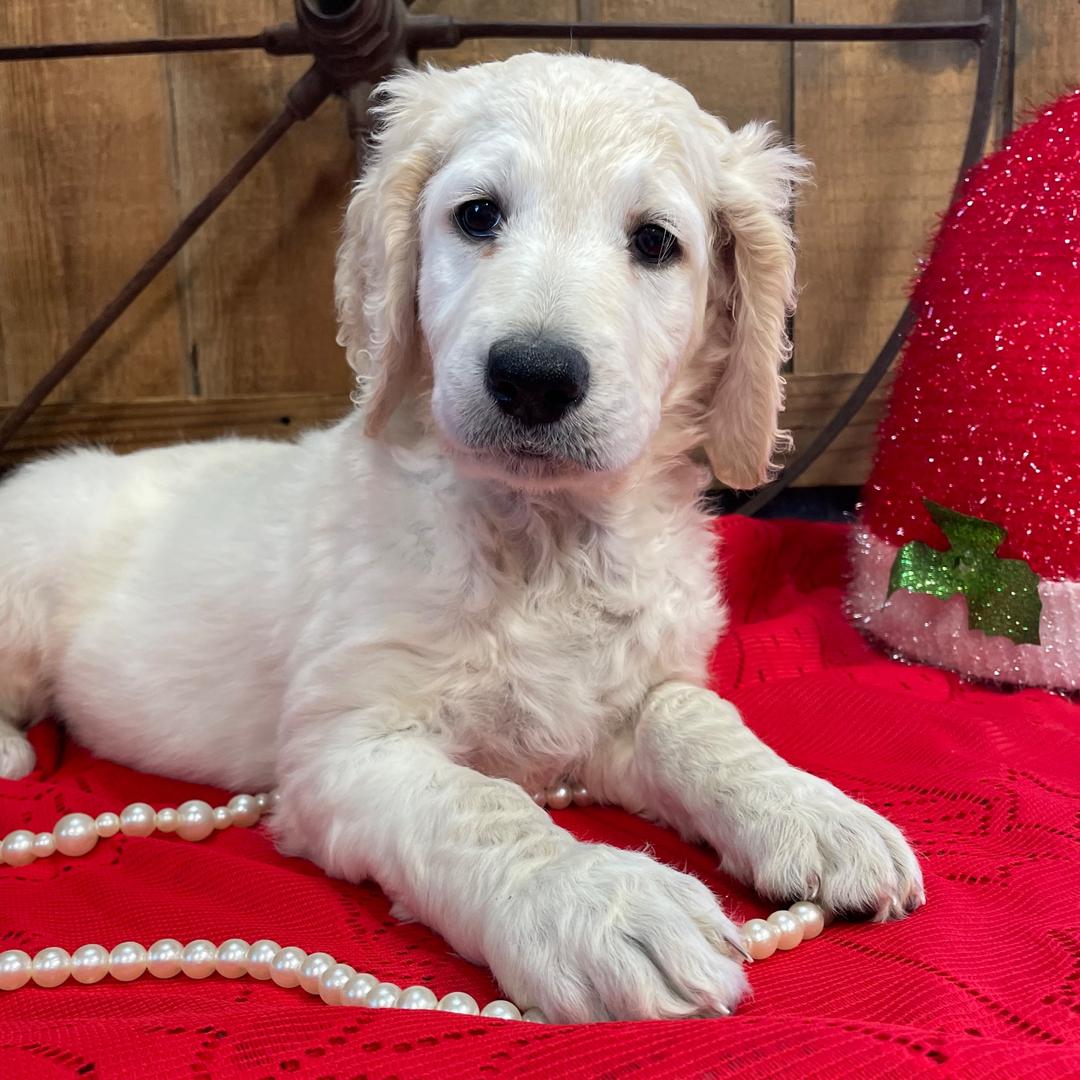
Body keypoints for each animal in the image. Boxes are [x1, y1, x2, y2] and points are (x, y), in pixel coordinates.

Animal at [0, 53, 923, 1023]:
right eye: (478, 214)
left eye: (655, 241)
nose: (534, 376)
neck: (543, 537)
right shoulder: (346, 749)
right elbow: (479, 805)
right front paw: (599, 902)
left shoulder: (637, 691)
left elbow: (701, 721)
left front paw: (811, 810)